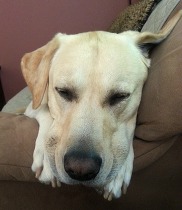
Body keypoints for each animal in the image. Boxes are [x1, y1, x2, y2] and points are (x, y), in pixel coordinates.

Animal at [21, 11, 181, 200]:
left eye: (120, 96)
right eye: (63, 91)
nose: (80, 169)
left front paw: (120, 171)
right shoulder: (31, 106)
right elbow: (44, 109)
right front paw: (46, 158)